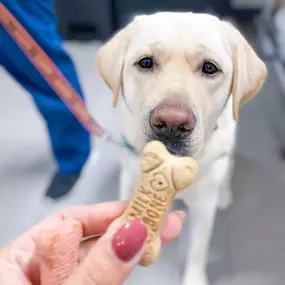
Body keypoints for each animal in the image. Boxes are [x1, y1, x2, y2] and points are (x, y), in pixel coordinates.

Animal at [96, 11, 266, 284]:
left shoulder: (203, 206)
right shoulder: (131, 180)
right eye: (146, 63)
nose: (171, 123)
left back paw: (225, 194)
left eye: (210, 68)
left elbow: (198, 249)